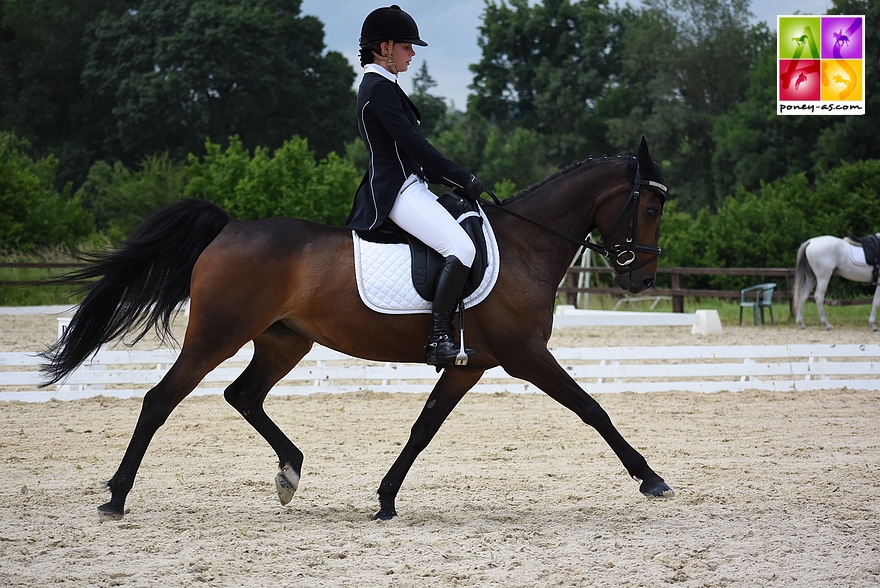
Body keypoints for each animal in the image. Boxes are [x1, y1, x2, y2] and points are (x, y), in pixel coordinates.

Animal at [41, 137, 672, 520]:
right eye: (649, 209)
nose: (641, 278)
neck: (524, 245)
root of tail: (229, 228)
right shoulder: (525, 354)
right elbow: (592, 408)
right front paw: (650, 478)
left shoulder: (469, 365)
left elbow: (424, 428)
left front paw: (386, 500)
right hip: (216, 335)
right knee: (161, 398)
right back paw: (117, 496)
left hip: (284, 340)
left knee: (242, 394)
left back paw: (290, 471)